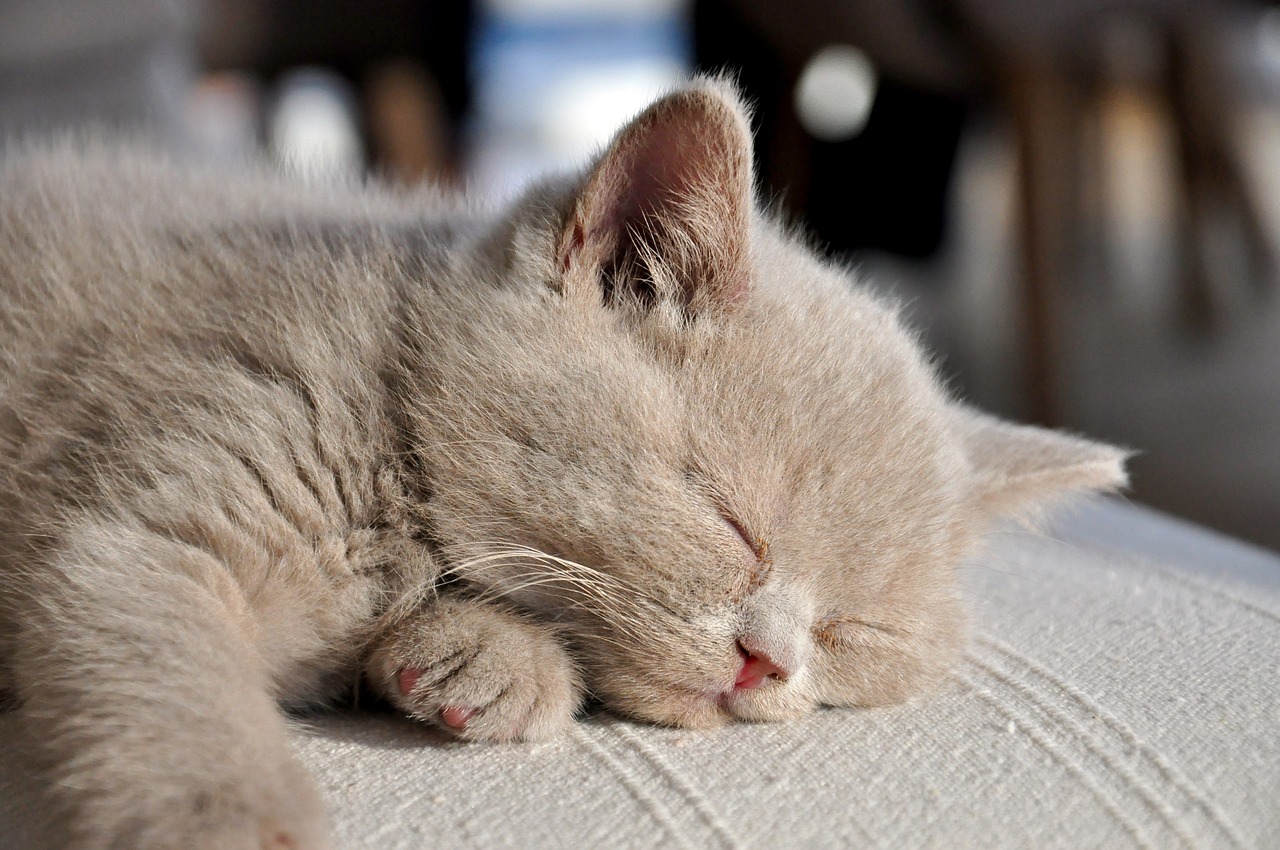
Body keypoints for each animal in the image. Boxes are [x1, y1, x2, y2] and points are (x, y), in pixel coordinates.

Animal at [0, 81, 1121, 850]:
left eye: (856, 630)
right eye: (728, 520)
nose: (768, 661)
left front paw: (483, 658)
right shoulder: (150, 531)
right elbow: (178, 701)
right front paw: (232, 821)